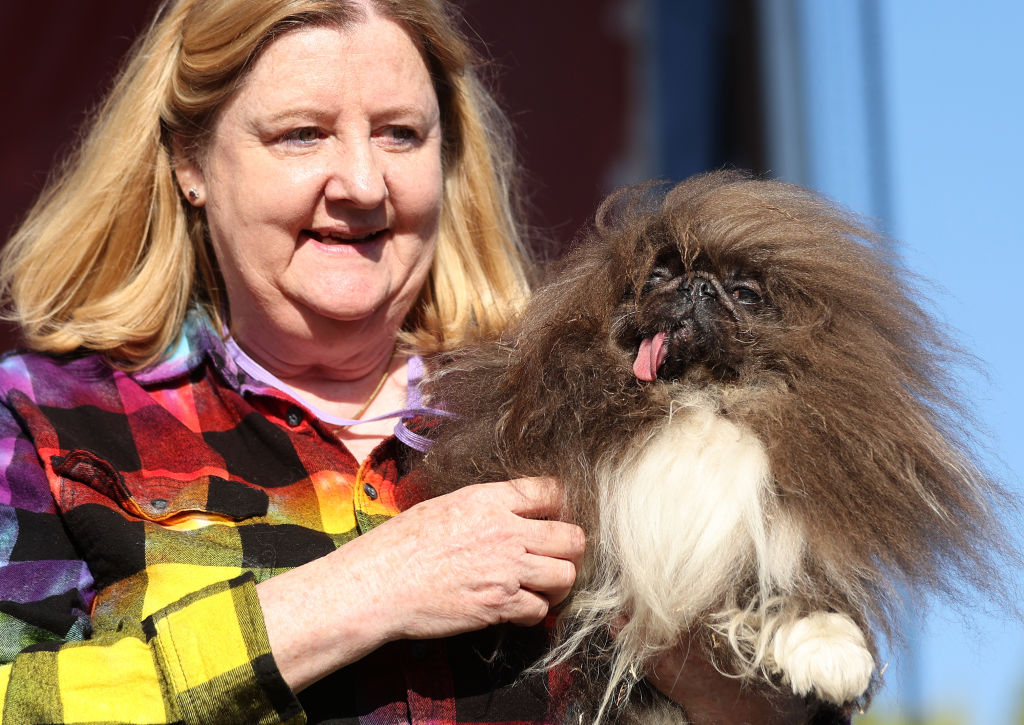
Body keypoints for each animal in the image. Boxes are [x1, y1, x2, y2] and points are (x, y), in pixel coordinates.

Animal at [411, 173, 1011, 720]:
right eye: (658, 275)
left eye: (744, 294)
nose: (697, 287)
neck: (698, 397)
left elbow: (796, 585)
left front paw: (831, 655)